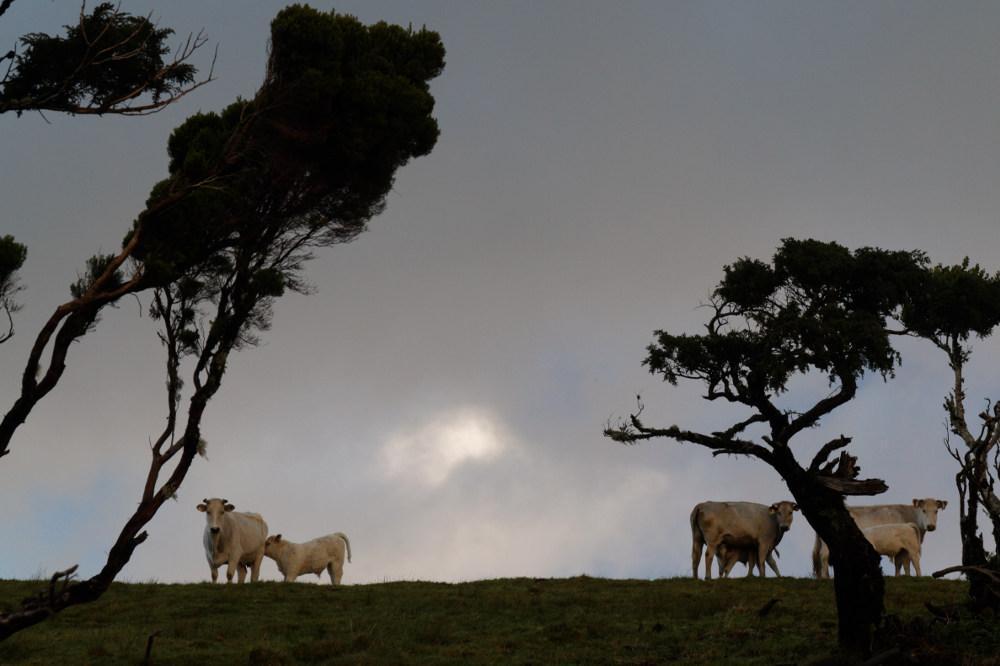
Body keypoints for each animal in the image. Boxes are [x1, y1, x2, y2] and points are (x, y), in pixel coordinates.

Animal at [812, 498, 944, 576]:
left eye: (936, 511)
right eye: (923, 510)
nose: (931, 526)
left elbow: (900, 563)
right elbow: (902, 562)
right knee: (823, 557)